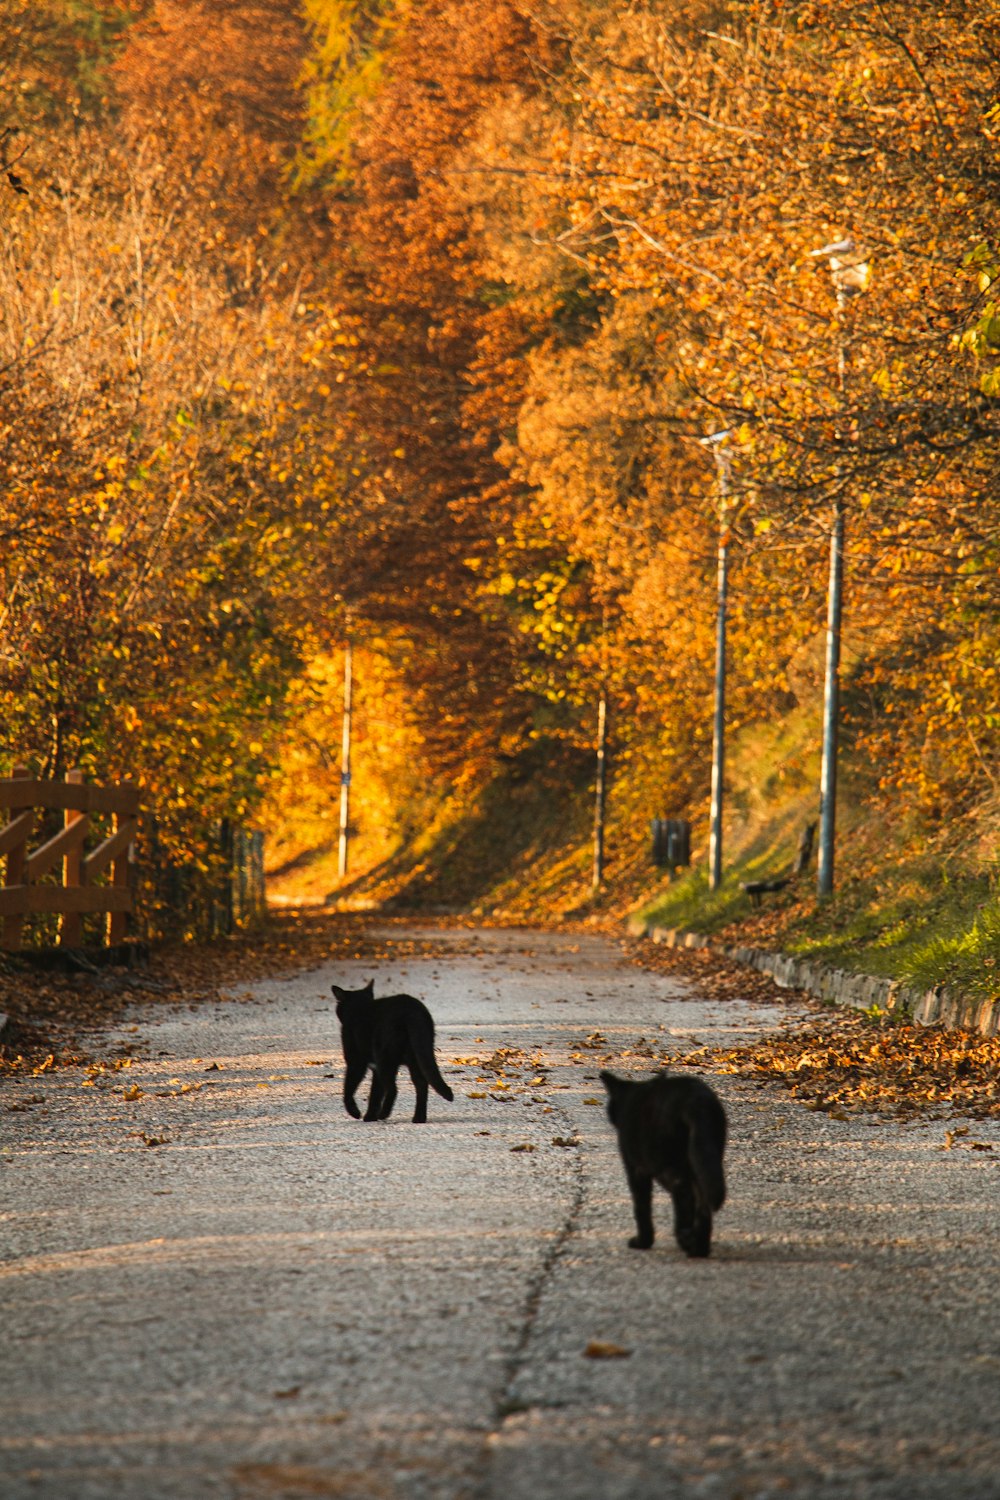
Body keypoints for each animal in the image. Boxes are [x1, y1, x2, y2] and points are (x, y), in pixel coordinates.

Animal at [332, 978, 452, 1122]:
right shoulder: (375, 1069)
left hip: (385, 1057)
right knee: (421, 1084)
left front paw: (356, 1113)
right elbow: (375, 1093)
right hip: (416, 1056)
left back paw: (384, 1114)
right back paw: (418, 1118)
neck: (359, 1007)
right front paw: (370, 1117)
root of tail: (411, 1010)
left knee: (393, 1089)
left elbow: (349, 1087)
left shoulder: (356, 1061)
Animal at [599, 1068, 731, 1254]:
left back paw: (685, 1238)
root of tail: (696, 1100)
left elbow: (641, 1206)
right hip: (704, 1156)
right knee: (704, 1202)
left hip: (666, 1163)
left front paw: (642, 1242)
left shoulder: (635, 1168)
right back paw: (699, 1248)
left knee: (684, 1195)